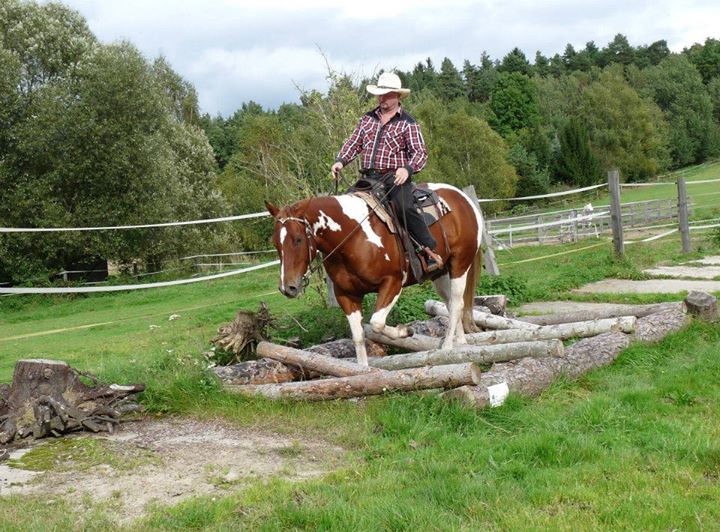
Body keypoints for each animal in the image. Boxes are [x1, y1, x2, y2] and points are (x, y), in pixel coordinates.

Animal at [264, 183, 484, 366]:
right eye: (275, 242)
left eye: (298, 239)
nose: (287, 287)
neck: (353, 236)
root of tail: (463, 198)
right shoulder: (346, 295)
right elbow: (358, 336)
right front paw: (362, 371)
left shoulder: (393, 283)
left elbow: (376, 323)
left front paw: (405, 331)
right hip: (440, 272)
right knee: (451, 303)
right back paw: (460, 342)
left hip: (460, 265)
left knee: (456, 303)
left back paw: (447, 347)